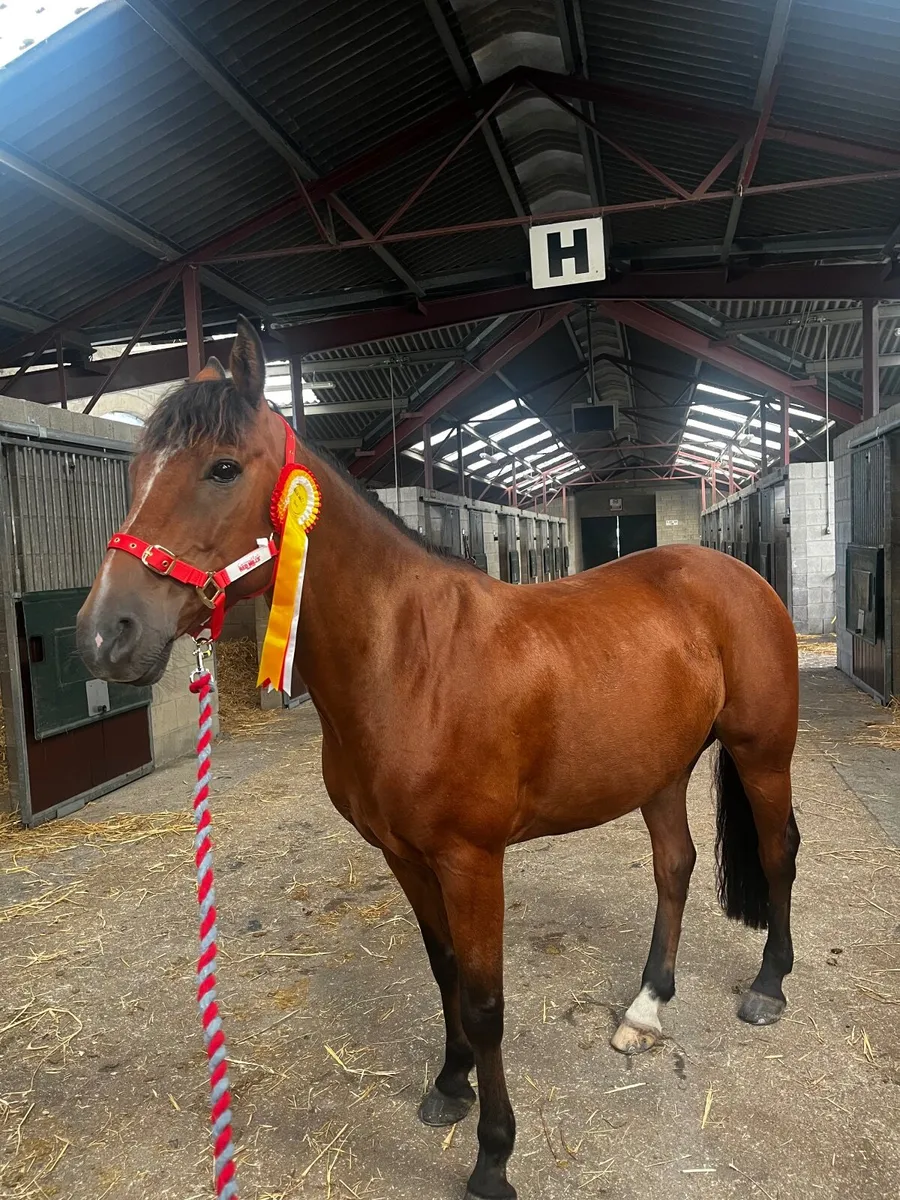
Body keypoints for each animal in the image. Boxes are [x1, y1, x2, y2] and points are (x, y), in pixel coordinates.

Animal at [76, 318, 800, 1200]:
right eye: (138, 469)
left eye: (221, 467)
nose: (106, 634)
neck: (408, 660)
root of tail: (730, 571)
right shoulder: (402, 854)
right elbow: (444, 969)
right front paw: (450, 1087)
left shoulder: (470, 860)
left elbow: (486, 1000)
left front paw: (493, 1157)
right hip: (659, 772)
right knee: (676, 865)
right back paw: (644, 1008)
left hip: (763, 754)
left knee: (777, 853)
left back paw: (767, 987)